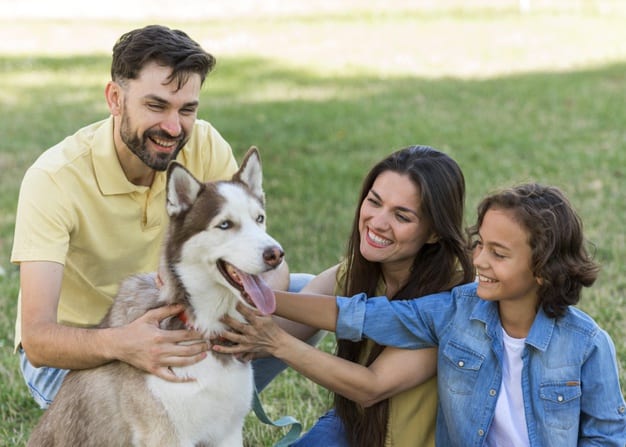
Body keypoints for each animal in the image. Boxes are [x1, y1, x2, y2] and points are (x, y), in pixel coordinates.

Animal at [28, 148, 284, 447]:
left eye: (259, 219)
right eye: (225, 224)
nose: (276, 254)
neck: (205, 327)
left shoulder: (228, 431)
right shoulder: (166, 435)